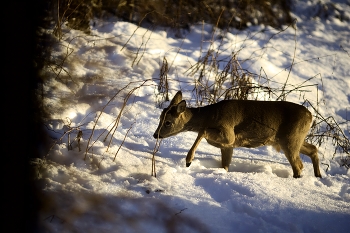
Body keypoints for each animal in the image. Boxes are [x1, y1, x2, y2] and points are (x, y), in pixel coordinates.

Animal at [152, 91, 322, 178]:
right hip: (290, 139)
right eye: (160, 118)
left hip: (290, 139)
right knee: (313, 149)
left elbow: (202, 131)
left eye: (168, 122)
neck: (210, 116)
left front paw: (188, 160)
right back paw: (318, 175)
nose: (155, 135)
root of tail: (310, 116)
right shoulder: (228, 146)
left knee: (298, 165)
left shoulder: (229, 134)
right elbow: (225, 165)